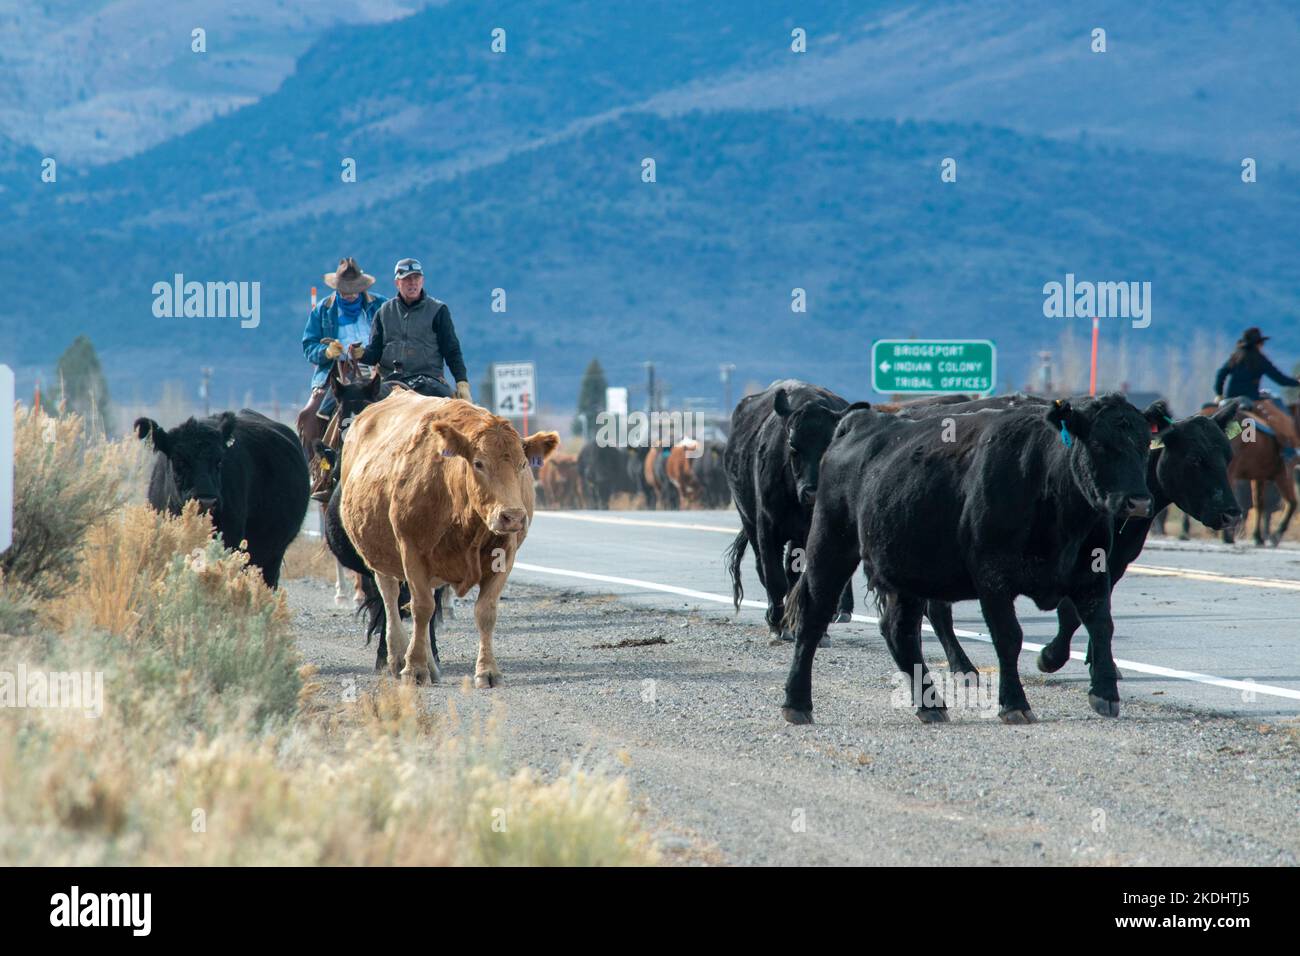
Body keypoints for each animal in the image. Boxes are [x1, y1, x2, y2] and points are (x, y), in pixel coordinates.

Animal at [339, 391, 559, 685]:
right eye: (478, 463)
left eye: (523, 464)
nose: (512, 516)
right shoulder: (412, 551)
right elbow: (421, 608)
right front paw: (414, 668)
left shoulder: (505, 554)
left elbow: (485, 611)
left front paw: (488, 671)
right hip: (380, 556)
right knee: (391, 598)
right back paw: (397, 658)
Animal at [724, 380, 854, 643]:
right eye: (793, 446)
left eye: (830, 446)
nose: (812, 492)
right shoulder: (766, 527)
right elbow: (774, 577)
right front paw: (776, 625)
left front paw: (818, 630)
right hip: (749, 521)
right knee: (764, 569)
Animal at [781, 394, 1152, 725]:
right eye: (1100, 444)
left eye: (1145, 445)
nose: (1139, 501)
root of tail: (859, 422)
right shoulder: (992, 576)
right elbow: (1008, 637)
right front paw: (1014, 704)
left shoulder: (1093, 572)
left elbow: (1101, 625)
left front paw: (1105, 693)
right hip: (830, 545)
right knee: (814, 616)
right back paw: (797, 702)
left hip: (905, 571)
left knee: (899, 631)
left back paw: (930, 705)